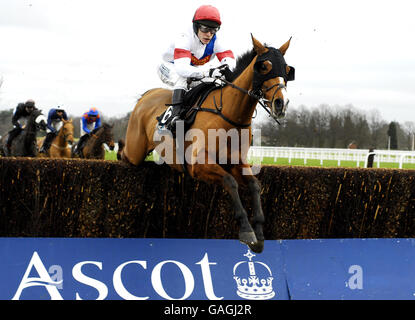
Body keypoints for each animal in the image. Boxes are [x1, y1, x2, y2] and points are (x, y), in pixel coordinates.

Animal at [121, 35, 296, 254]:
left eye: (287, 69)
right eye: (264, 67)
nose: (282, 103)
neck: (229, 114)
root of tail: (147, 95)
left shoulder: (236, 161)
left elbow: (255, 185)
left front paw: (259, 232)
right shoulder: (198, 165)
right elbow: (230, 181)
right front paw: (247, 230)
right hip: (134, 149)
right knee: (124, 154)